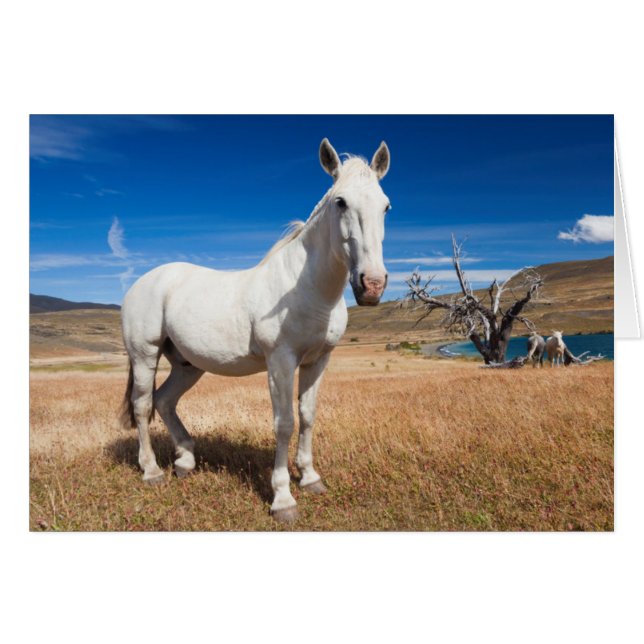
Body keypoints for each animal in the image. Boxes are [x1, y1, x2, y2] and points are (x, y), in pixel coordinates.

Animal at [120, 138, 391, 522]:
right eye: (341, 202)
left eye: (386, 206)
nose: (372, 285)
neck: (306, 289)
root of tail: (142, 282)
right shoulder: (281, 361)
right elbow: (285, 423)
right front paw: (283, 499)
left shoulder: (318, 361)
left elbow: (307, 416)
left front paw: (310, 478)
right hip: (145, 355)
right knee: (143, 406)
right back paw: (152, 471)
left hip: (188, 365)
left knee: (165, 400)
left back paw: (185, 460)